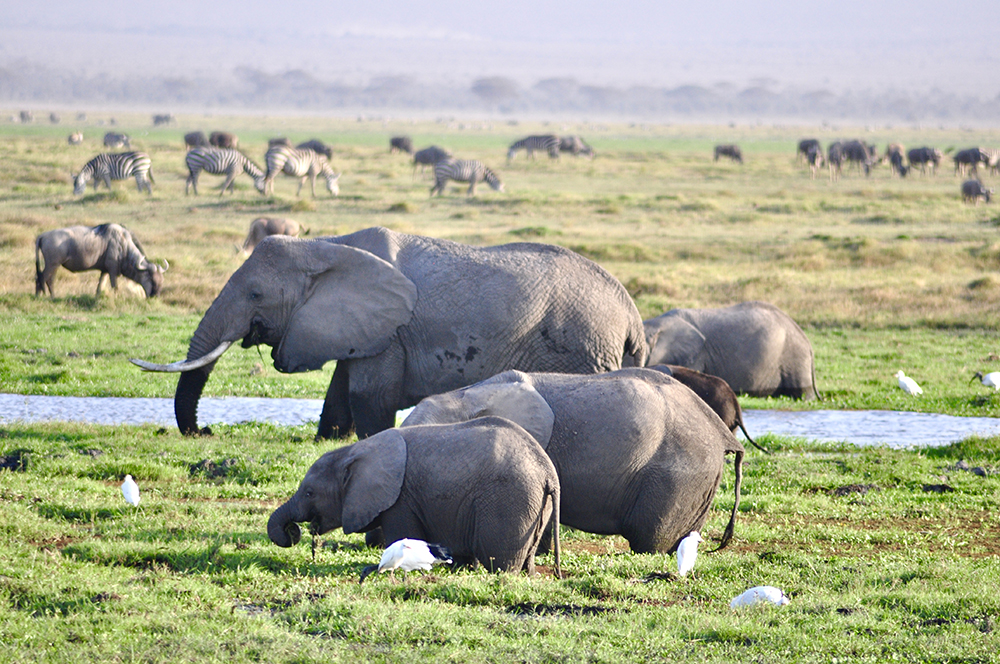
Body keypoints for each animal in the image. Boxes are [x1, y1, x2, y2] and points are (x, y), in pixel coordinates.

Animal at [131, 227, 647, 440]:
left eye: (256, 294)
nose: (206, 431)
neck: (325, 246)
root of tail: (632, 316)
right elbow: (339, 392)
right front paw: (327, 440)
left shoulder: (392, 331)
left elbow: (368, 395)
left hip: (583, 346)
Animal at [267, 417, 561, 576]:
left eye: (309, 493)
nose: (294, 531)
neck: (354, 450)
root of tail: (548, 473)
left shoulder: (401, 501)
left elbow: (401, 536)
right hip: (533, 504)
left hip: (509, 501)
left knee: (500, 562)